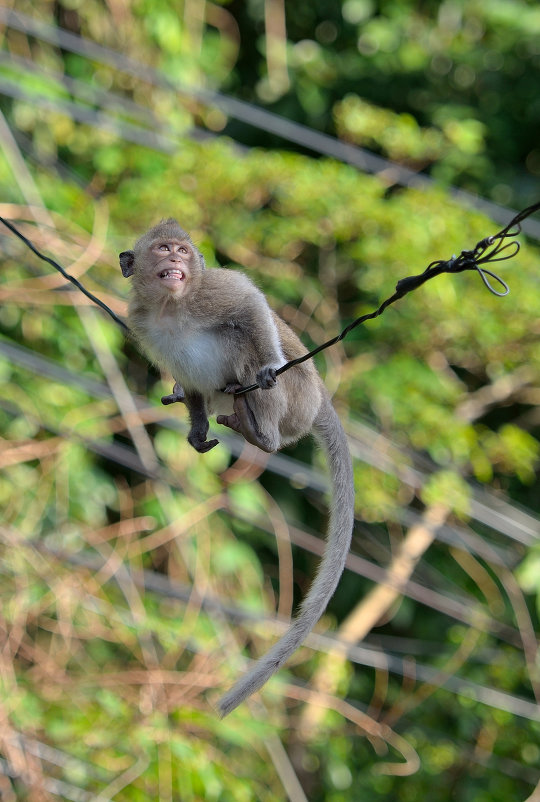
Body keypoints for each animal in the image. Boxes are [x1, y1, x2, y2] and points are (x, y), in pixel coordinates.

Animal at [118, 217, 354, 712]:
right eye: (163, 249)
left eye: (183, 250)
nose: (176, 260)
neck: (172, 306)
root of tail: (321, 400)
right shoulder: (140, 319)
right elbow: (187, 376)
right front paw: (195, 426)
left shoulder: (212, 289)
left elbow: (249, 303)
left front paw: (265, 365)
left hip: (294, 398)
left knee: (240, 338)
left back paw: (261, 434)